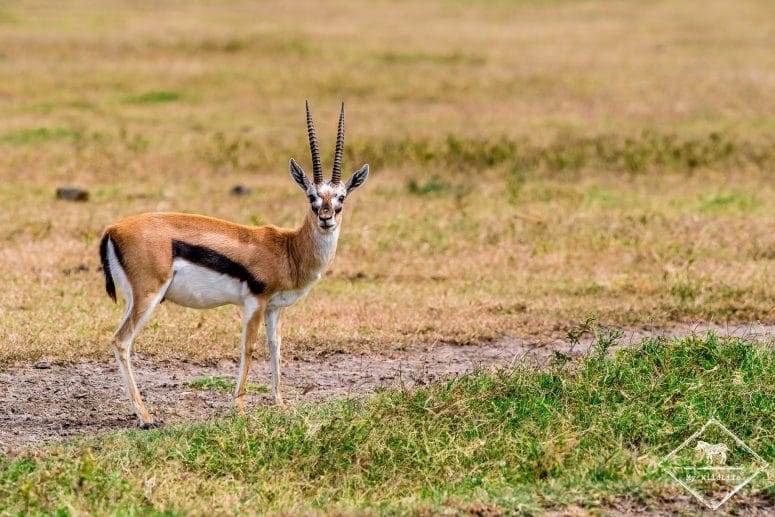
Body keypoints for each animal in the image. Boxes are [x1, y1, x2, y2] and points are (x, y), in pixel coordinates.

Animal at [99, 102, 369, 428]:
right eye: (311, 196)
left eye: (341, 197)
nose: (326, 218)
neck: (288, 249)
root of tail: (113, 228)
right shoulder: (254, 302)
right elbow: (248, 348)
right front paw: (238, 408)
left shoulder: (275, 307)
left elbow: (276, 347)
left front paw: (281, 405)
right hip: (148, 296)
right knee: (121, 341)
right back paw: (146, 417)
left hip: (133, 299)